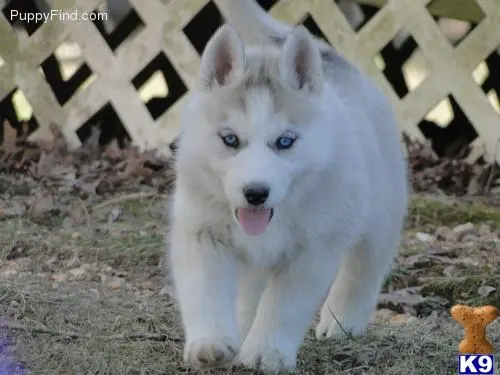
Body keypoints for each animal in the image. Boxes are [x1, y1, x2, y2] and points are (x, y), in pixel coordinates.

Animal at [166, 0, 408, 372]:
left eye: (285, 141)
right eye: (230, 139)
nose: (255, 193)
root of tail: (331, 56)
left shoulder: (311, 250)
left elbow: (283, 306)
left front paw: (266, 353)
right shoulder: (201, 233)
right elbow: (204, 291)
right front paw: (212, 342)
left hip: (379, 218)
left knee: (363, 270)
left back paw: (343, 322)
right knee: (251, 290)